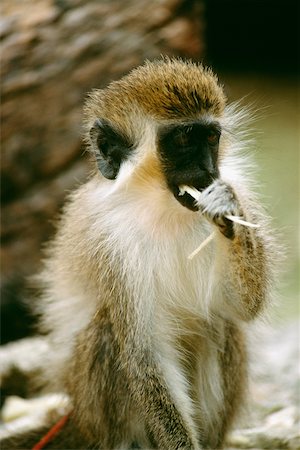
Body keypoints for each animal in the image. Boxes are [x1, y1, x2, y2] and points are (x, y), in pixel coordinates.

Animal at [0, 58, 276, 448]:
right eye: (182, 140)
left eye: (210, 138)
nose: (208, 171)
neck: (160, 203)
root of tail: (80, 420)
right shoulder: (110, 242)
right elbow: (146, 355)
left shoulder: (241, 190)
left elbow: (242, 306)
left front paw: (225, 209)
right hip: (91, 404)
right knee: (107, 329)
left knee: (220, 322)